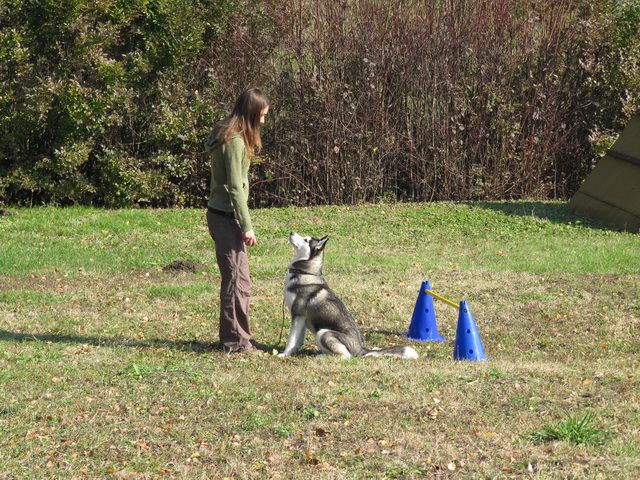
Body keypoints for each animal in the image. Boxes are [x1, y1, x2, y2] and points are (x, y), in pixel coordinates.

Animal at [282, 232, 420, 360]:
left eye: (306, 240)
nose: (291, 232)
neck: (305, 273)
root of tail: (361, 349)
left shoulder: (298, 315)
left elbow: (291, 340)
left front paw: (284, 354)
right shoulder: (302, 319)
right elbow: (298, 341)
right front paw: (293, 352)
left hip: (324, 332)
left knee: (346, 356)